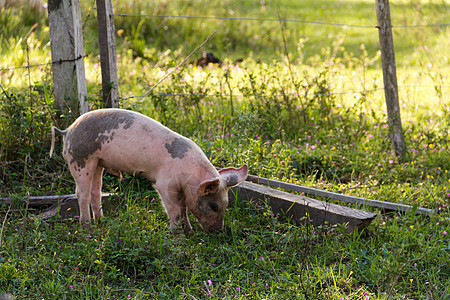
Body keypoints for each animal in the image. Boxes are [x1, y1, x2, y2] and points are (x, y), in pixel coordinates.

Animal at [50, 109, 248, 233]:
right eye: (214, 206)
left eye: (226, 204)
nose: (218, 231)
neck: (190, 178)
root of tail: (67, 130)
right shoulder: (165, 184)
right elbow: (175, 210)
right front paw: (177, 234)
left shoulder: (182, 190)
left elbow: (184, 209)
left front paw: (190, 232)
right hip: (81, 160)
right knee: (81, 193)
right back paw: (87, 227)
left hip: (98, 162)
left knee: (95, 191)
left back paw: (102, 221)